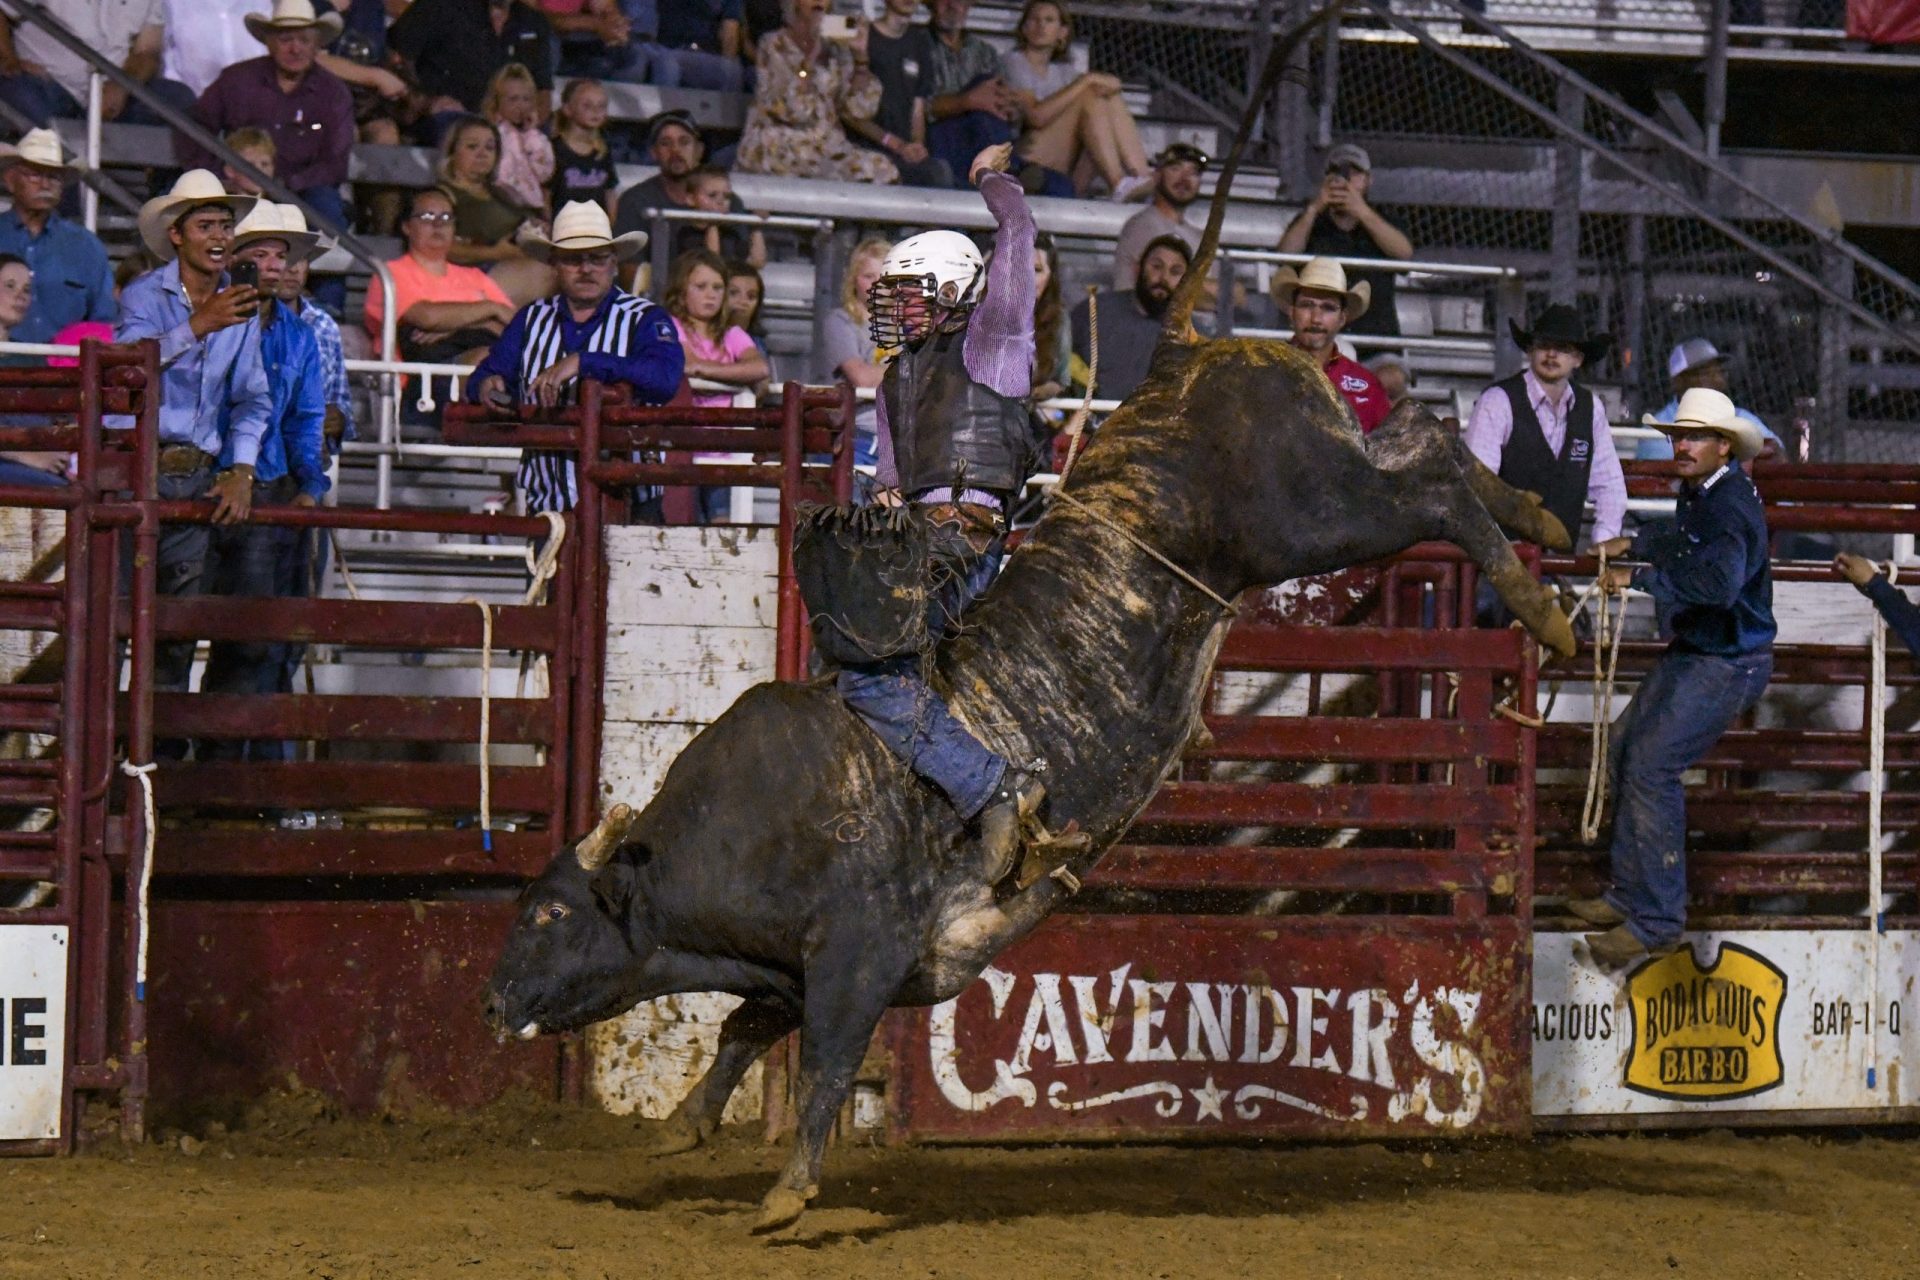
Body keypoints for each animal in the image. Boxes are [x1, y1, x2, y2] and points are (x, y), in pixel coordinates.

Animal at [482, 14, 1577, 1232]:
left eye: (547, 916)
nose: (490, 1000)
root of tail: (1182, 351)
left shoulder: (860, 953)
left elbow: (821, 1068)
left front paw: (786, 1194)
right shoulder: (793, 969)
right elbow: (740, 1028)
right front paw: (685, 1123)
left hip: (1307, 514)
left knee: (1427, 476)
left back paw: (1546, 604)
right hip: (1320, 494)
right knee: (1431, 442)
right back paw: (1542, 520)